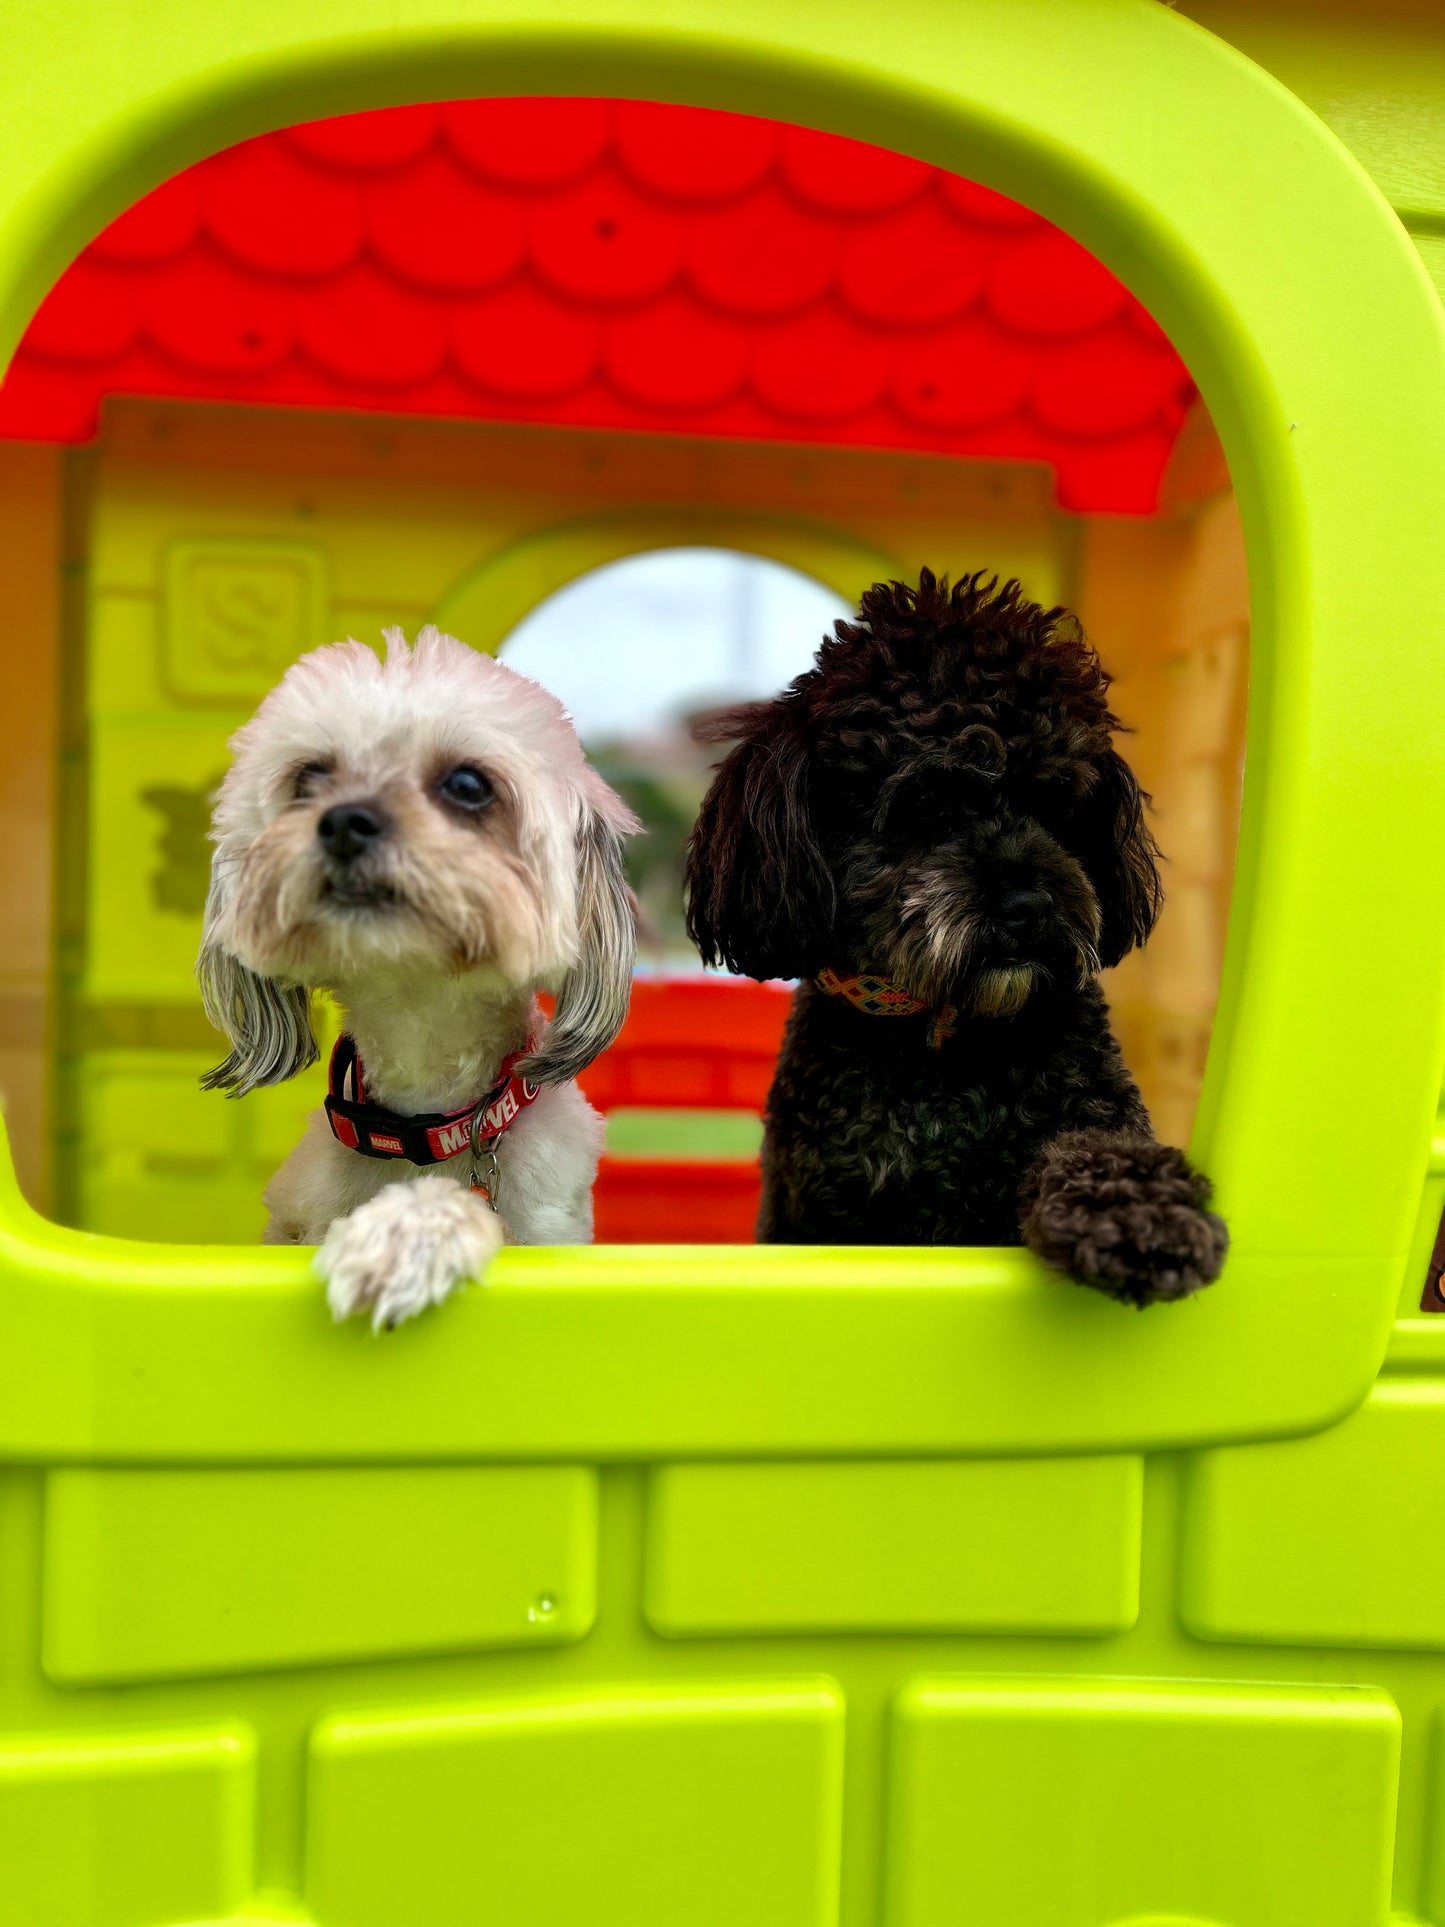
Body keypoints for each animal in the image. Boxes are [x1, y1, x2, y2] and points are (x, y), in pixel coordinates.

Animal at [685, 562, 1225, 1302]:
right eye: (925, 804)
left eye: (1054, 801)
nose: (1029, 905)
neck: (944, 1036)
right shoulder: (828, 1210)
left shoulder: (1092, 1111)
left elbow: (1100, 1148)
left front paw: (1144, 1212)